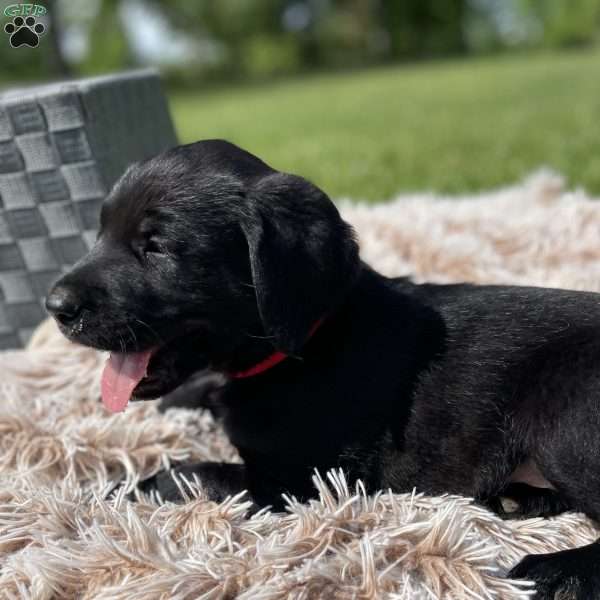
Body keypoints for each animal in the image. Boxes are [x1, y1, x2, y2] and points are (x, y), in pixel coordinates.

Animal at [48, 139, 600, 596]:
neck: (308, 339)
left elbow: (191, 472)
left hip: (563, 415)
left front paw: (110, 491)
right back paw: (516, 500)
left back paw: (555, 569)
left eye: (157, 246)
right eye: (100, 232)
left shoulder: (302, 482)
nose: (55, 306)